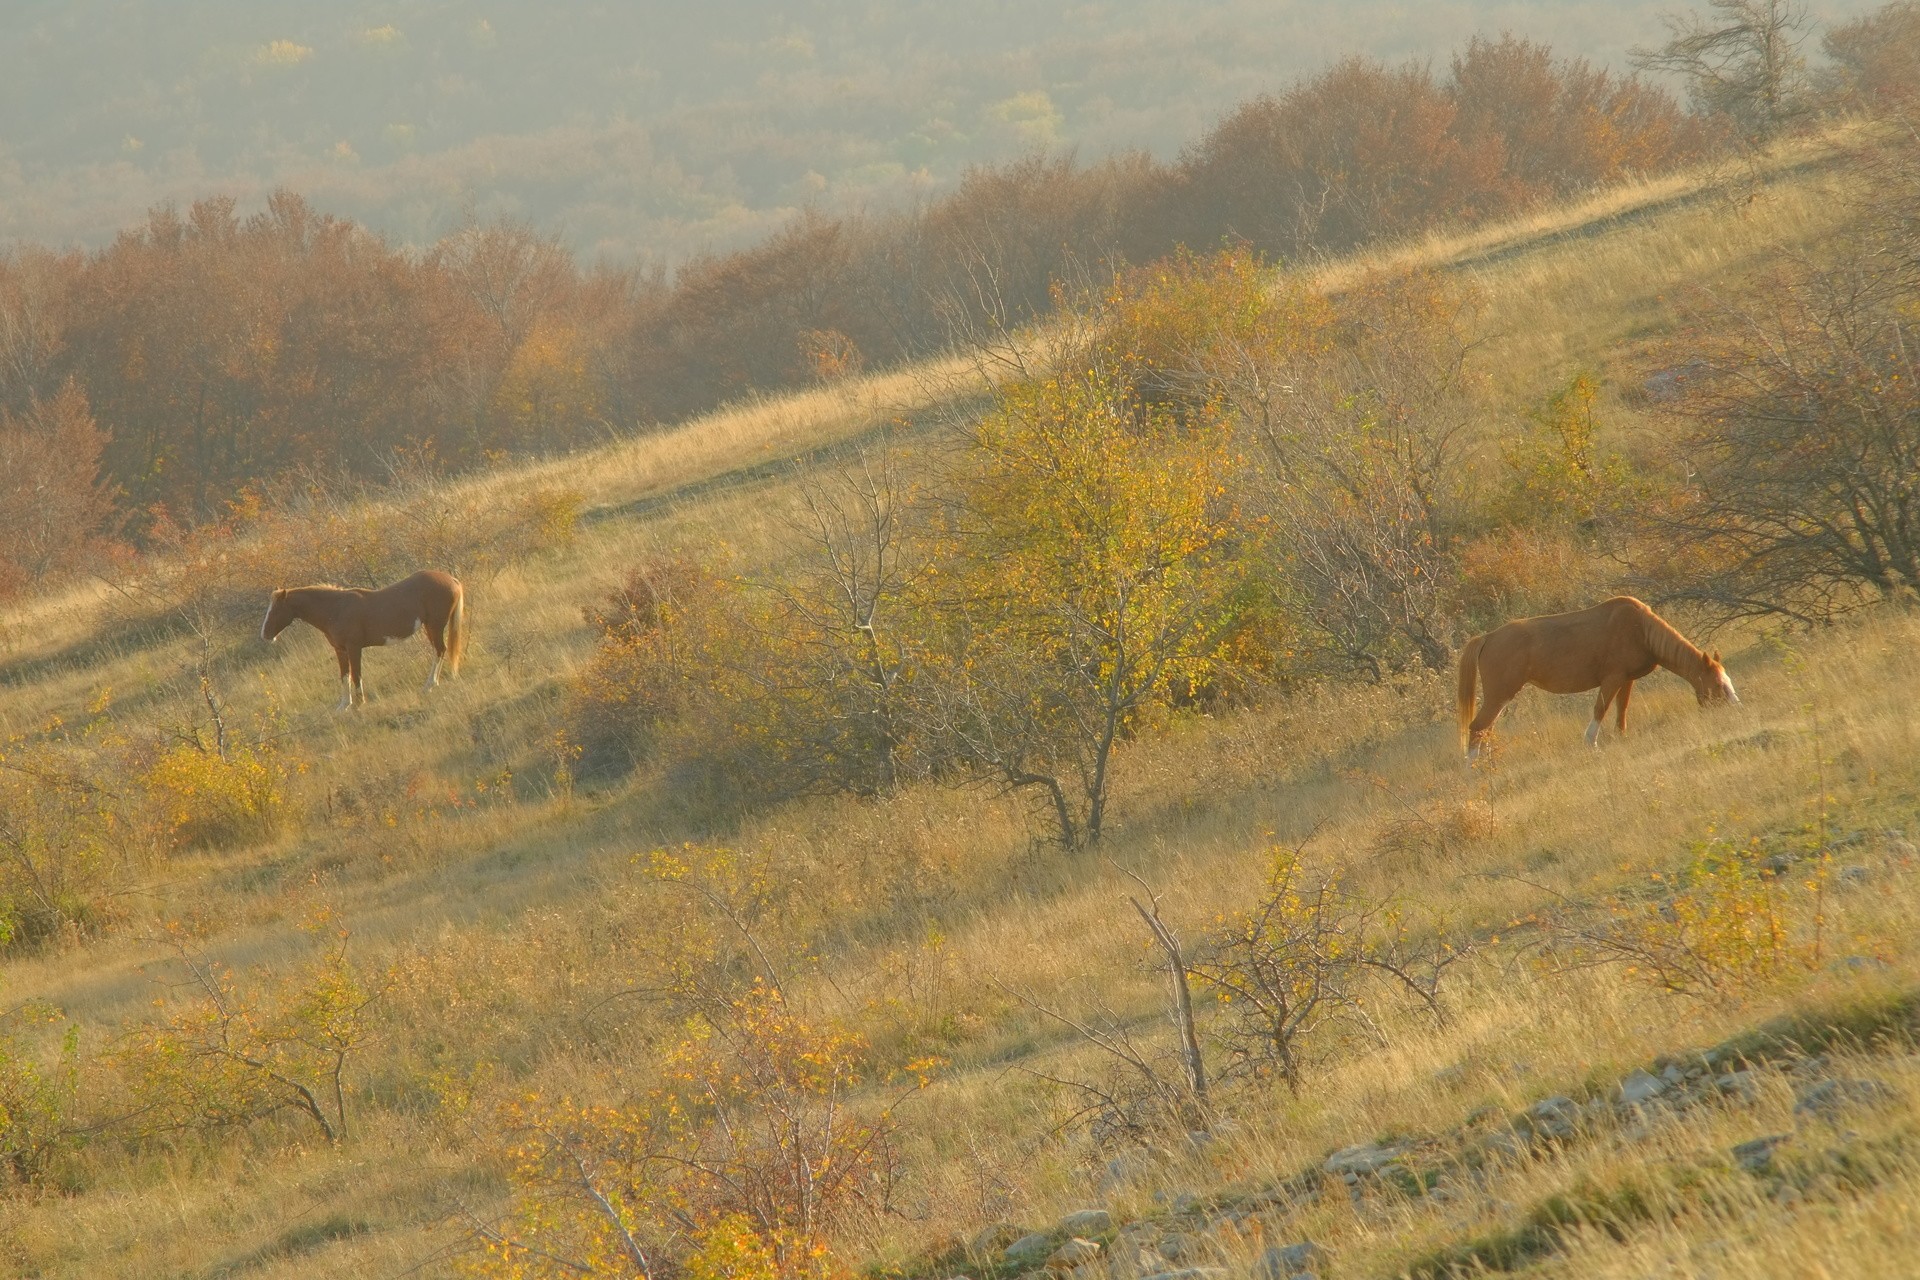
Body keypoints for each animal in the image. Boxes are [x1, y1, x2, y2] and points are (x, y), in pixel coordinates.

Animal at [261, 571, 466, 710]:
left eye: (275, 610)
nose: (265, 635)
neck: (335, 609)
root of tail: (451, 579)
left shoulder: (354, 648)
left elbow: (356, 674)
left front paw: (360, 703)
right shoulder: (340, 650)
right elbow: (344, 675)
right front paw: (344, 705)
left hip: (435, 626)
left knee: (440, 650)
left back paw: (429, 685)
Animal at [1451, 598, 1743, 767]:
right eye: (1719, 686)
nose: (1737, 709)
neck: (1641, 629)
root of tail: (1487, 638)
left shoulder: (1626, 680)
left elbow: (1621, 710)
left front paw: (1621, 737)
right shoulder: (1612, 679)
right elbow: (1600, 710)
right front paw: (1591, 744)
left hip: (1501, 698)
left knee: (1486, 729)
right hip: (1499, 696)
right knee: (1477, 727)